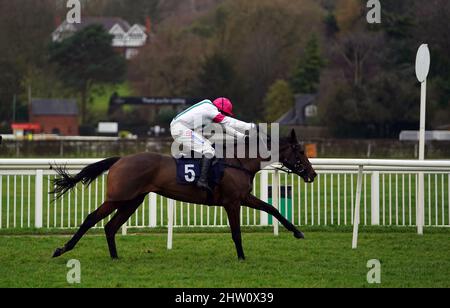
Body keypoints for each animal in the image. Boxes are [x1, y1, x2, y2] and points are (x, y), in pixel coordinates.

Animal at [51, 129, 316, 262]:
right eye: (300, 152)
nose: (312, 174)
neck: (239, 162)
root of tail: (120, 159)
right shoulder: (232, 202)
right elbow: (236, 232)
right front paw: (241, 257)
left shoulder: (243, 198)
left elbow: (273, 209)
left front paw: (298, 232)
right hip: (118, 198)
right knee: (91, 219)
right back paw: (61, 249)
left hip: (132, 201)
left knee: (110, 226)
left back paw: (115, 257)